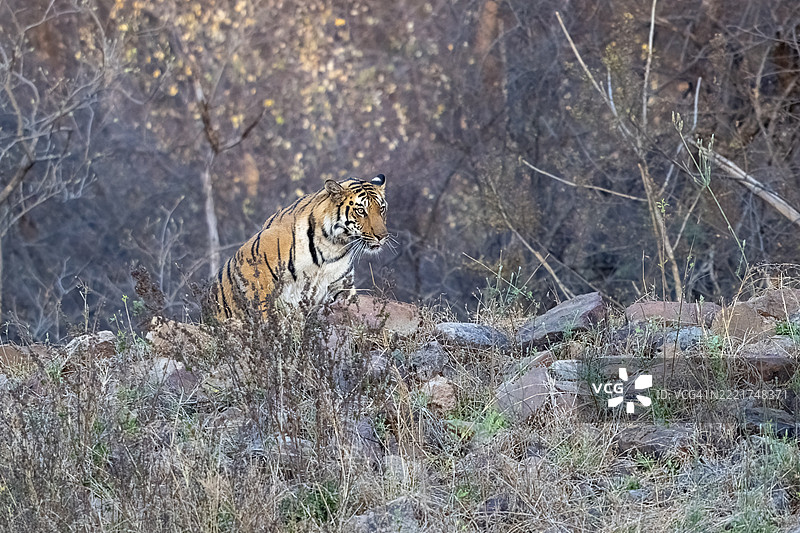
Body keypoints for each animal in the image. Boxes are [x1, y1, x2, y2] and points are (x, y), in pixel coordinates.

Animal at [207, 174, 388, 322]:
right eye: (361, 211)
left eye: (381, 209)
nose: (383, 236)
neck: (332, 246)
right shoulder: (252, 267)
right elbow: (265, 315)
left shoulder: (341, 286)